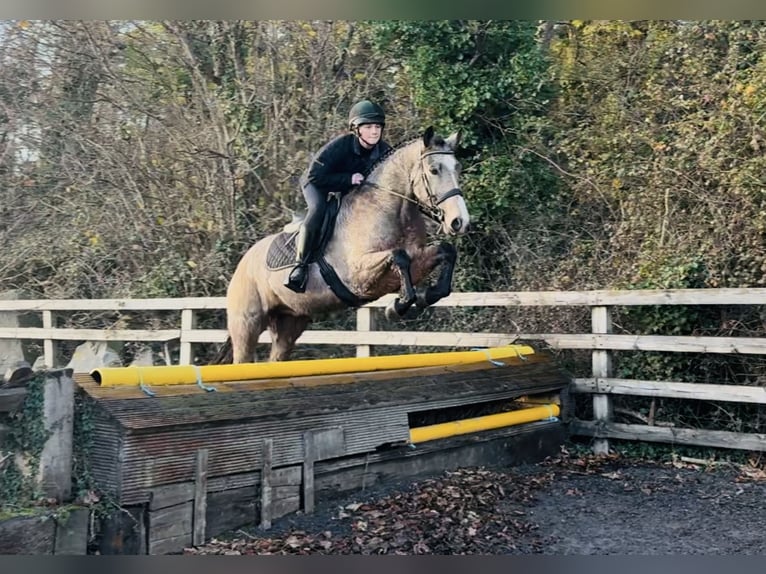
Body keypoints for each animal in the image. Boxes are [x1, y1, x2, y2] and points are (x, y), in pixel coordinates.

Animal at [218, 126, 470, 363]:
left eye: (457, 167)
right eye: (434, 170)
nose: (460, 221)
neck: (389, 208)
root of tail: (243, 262)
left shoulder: (415, 259)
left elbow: (445, 251)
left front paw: (426, 296)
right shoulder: (357, 275)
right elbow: (399, 256)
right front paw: (398, 306)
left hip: (290, 322)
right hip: (247, 324)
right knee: (242, 357)